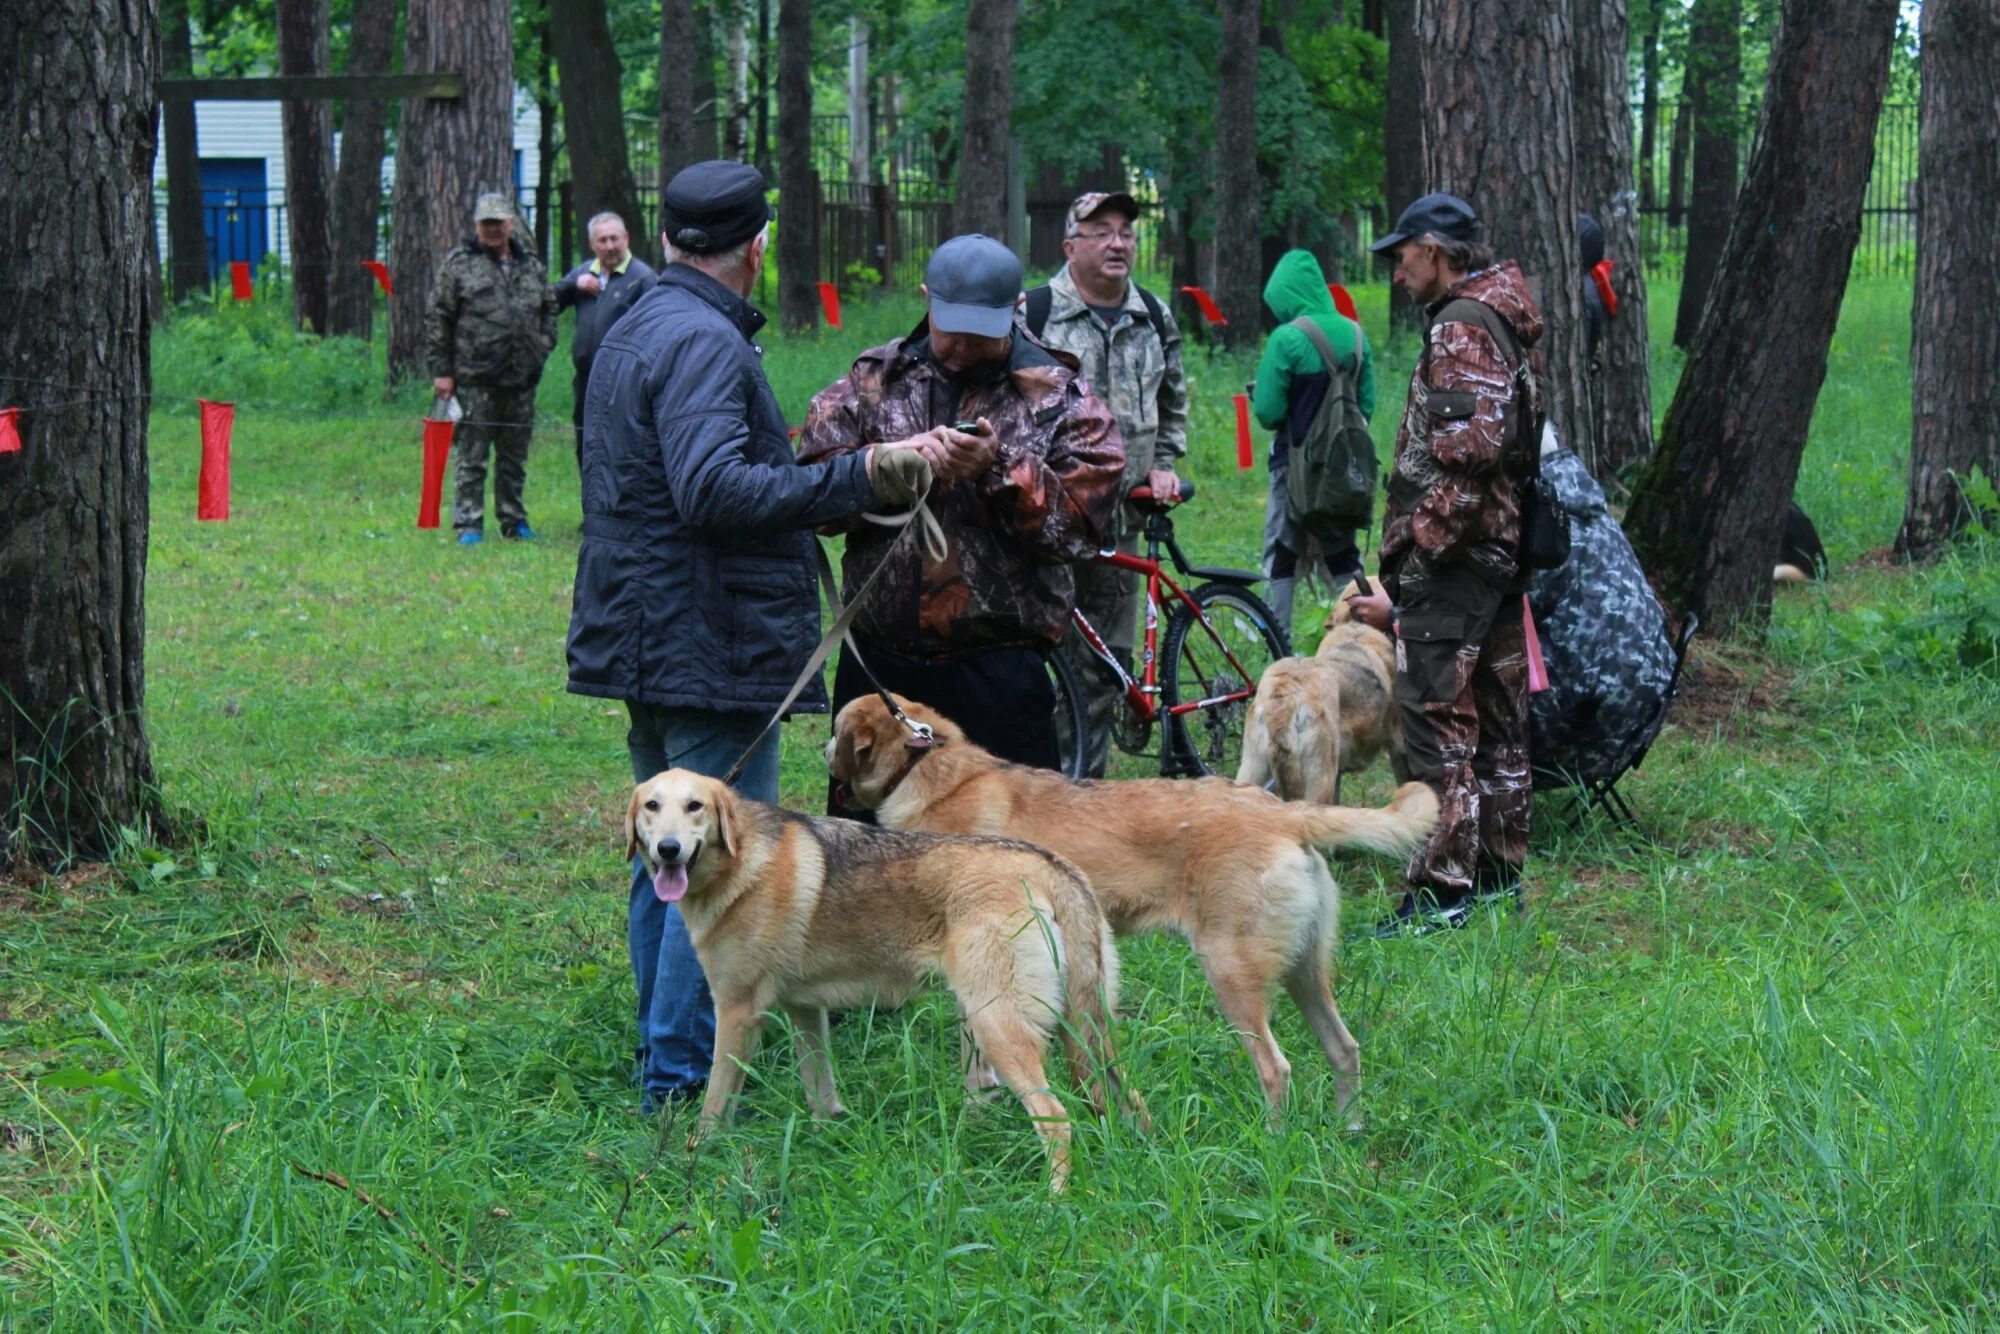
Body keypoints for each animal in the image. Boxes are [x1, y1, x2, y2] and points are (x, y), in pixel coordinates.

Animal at [632, 768, 1152, 1192]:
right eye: (651, 807)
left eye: (695, 807)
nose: (668, 850)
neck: (741, 862)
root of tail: (1053, 866)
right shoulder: (806, 1011)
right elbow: (820, 1092)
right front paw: (826, 1140)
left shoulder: (738, 1013)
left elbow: (714, 1106)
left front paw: (695, 1157)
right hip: (1084, 1035)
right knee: (1129, 1101)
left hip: (999, 1030)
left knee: (1057, 1120)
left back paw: (1054, 1203)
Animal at [828, 700, 1440, 1128]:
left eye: (834, 731)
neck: (927, 768)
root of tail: (1286, 813)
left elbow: (976, 1065)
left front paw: (976, 1115)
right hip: (1304, 975)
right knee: (1345, 1049)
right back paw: (1347, 1131)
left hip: (1230, 974)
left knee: (1276, 1068)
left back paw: (1271, 1142)